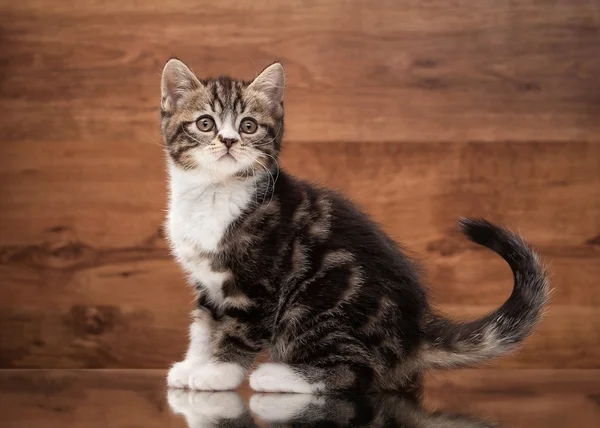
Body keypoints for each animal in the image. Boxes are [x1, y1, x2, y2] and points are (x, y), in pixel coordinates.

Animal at [161, 58, 548, 392]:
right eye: (205, 123)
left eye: (248, 126)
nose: (229, 141)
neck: (213, 193)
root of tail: (413, 336)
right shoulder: (207, 282)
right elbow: (203, 327)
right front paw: (193, 366)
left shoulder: (259, 285)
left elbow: (238, 332)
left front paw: (217, 374)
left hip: (320, 303)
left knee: (353, 372)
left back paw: (279, 376)